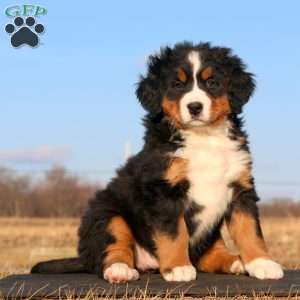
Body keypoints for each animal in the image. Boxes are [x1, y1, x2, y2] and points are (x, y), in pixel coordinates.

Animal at [31, 41, 284, 282]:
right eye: (177, 85)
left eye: (212, 83)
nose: (195, 107)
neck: (203, 138)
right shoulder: (163, 190)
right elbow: (174, 233)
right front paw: (178, 267)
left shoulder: (240, 188)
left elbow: (250, 229)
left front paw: (262, 263)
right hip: (107, 214)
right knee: (113, 249)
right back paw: (120, 270)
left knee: (207, 255)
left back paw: (235, 262)